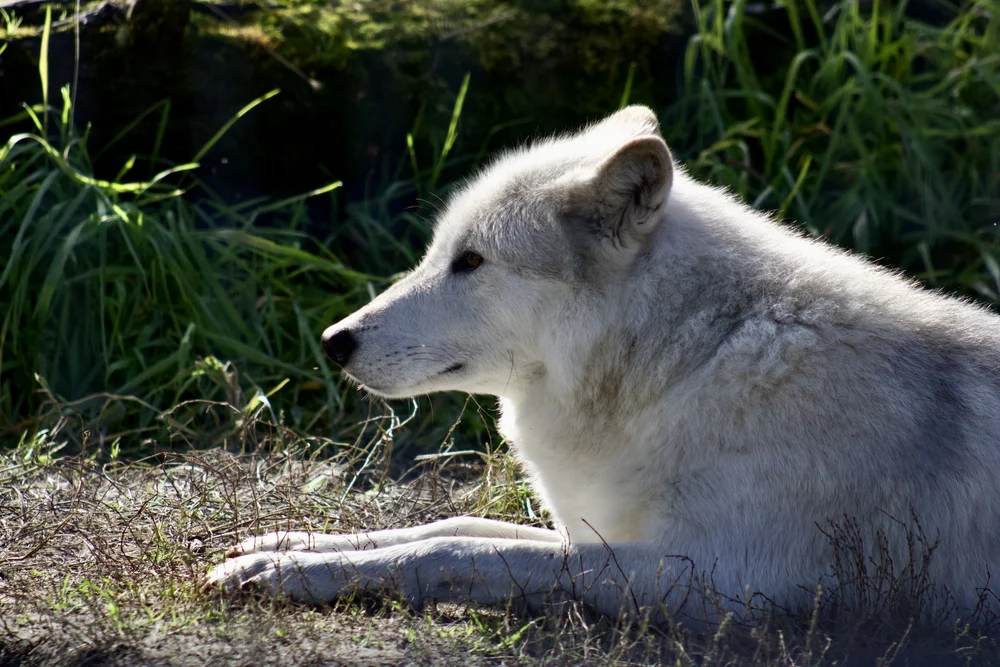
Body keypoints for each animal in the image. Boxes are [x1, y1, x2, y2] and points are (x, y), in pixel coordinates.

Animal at [206, 106, 1000, 625]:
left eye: (472, 262)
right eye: (439, 253)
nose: (334, 339)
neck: (688, 361)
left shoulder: (722, 577)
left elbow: (457, 549)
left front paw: (291, 568)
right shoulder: (603, 531)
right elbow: (444, 525)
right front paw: (278, 551)